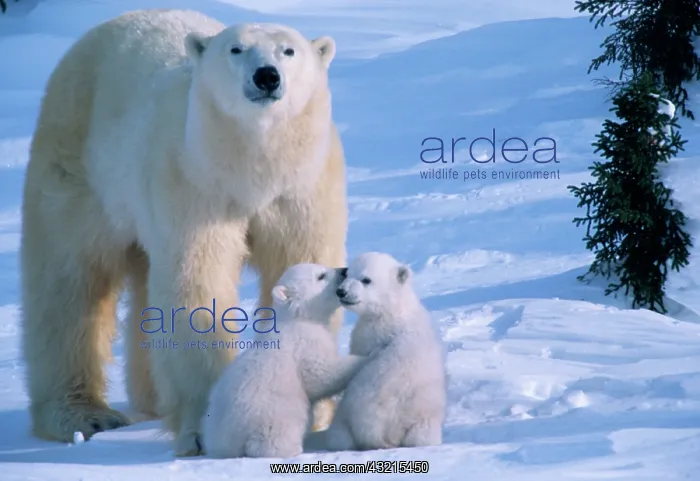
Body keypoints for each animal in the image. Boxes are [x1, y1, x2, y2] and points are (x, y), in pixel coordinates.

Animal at [20, 9, 347, 457]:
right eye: (236, 48)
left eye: (289, 50)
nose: (266, 76)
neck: (252, 169)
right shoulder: (194, 183)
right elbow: (196, 284)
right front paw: (204, 427)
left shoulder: (302, 189)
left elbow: (302, 269)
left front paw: (310, 414)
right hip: (78, 164)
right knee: (68, 282)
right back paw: (84, 414)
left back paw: (152, 398)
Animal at [202, 263, 371, 459]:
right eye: (321, 276)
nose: (344, 270)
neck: (296, 317)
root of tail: (227, 439)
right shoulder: (304, 341)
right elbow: (320, 375)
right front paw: (366, 357)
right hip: (272, 412)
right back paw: (292, 448)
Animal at [303, 252, 446, 452]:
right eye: (349, 274)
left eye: (366, 279)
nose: (342, 291)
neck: (391, 310)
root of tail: (386, 433)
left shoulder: (370, 335)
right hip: (424, 420)